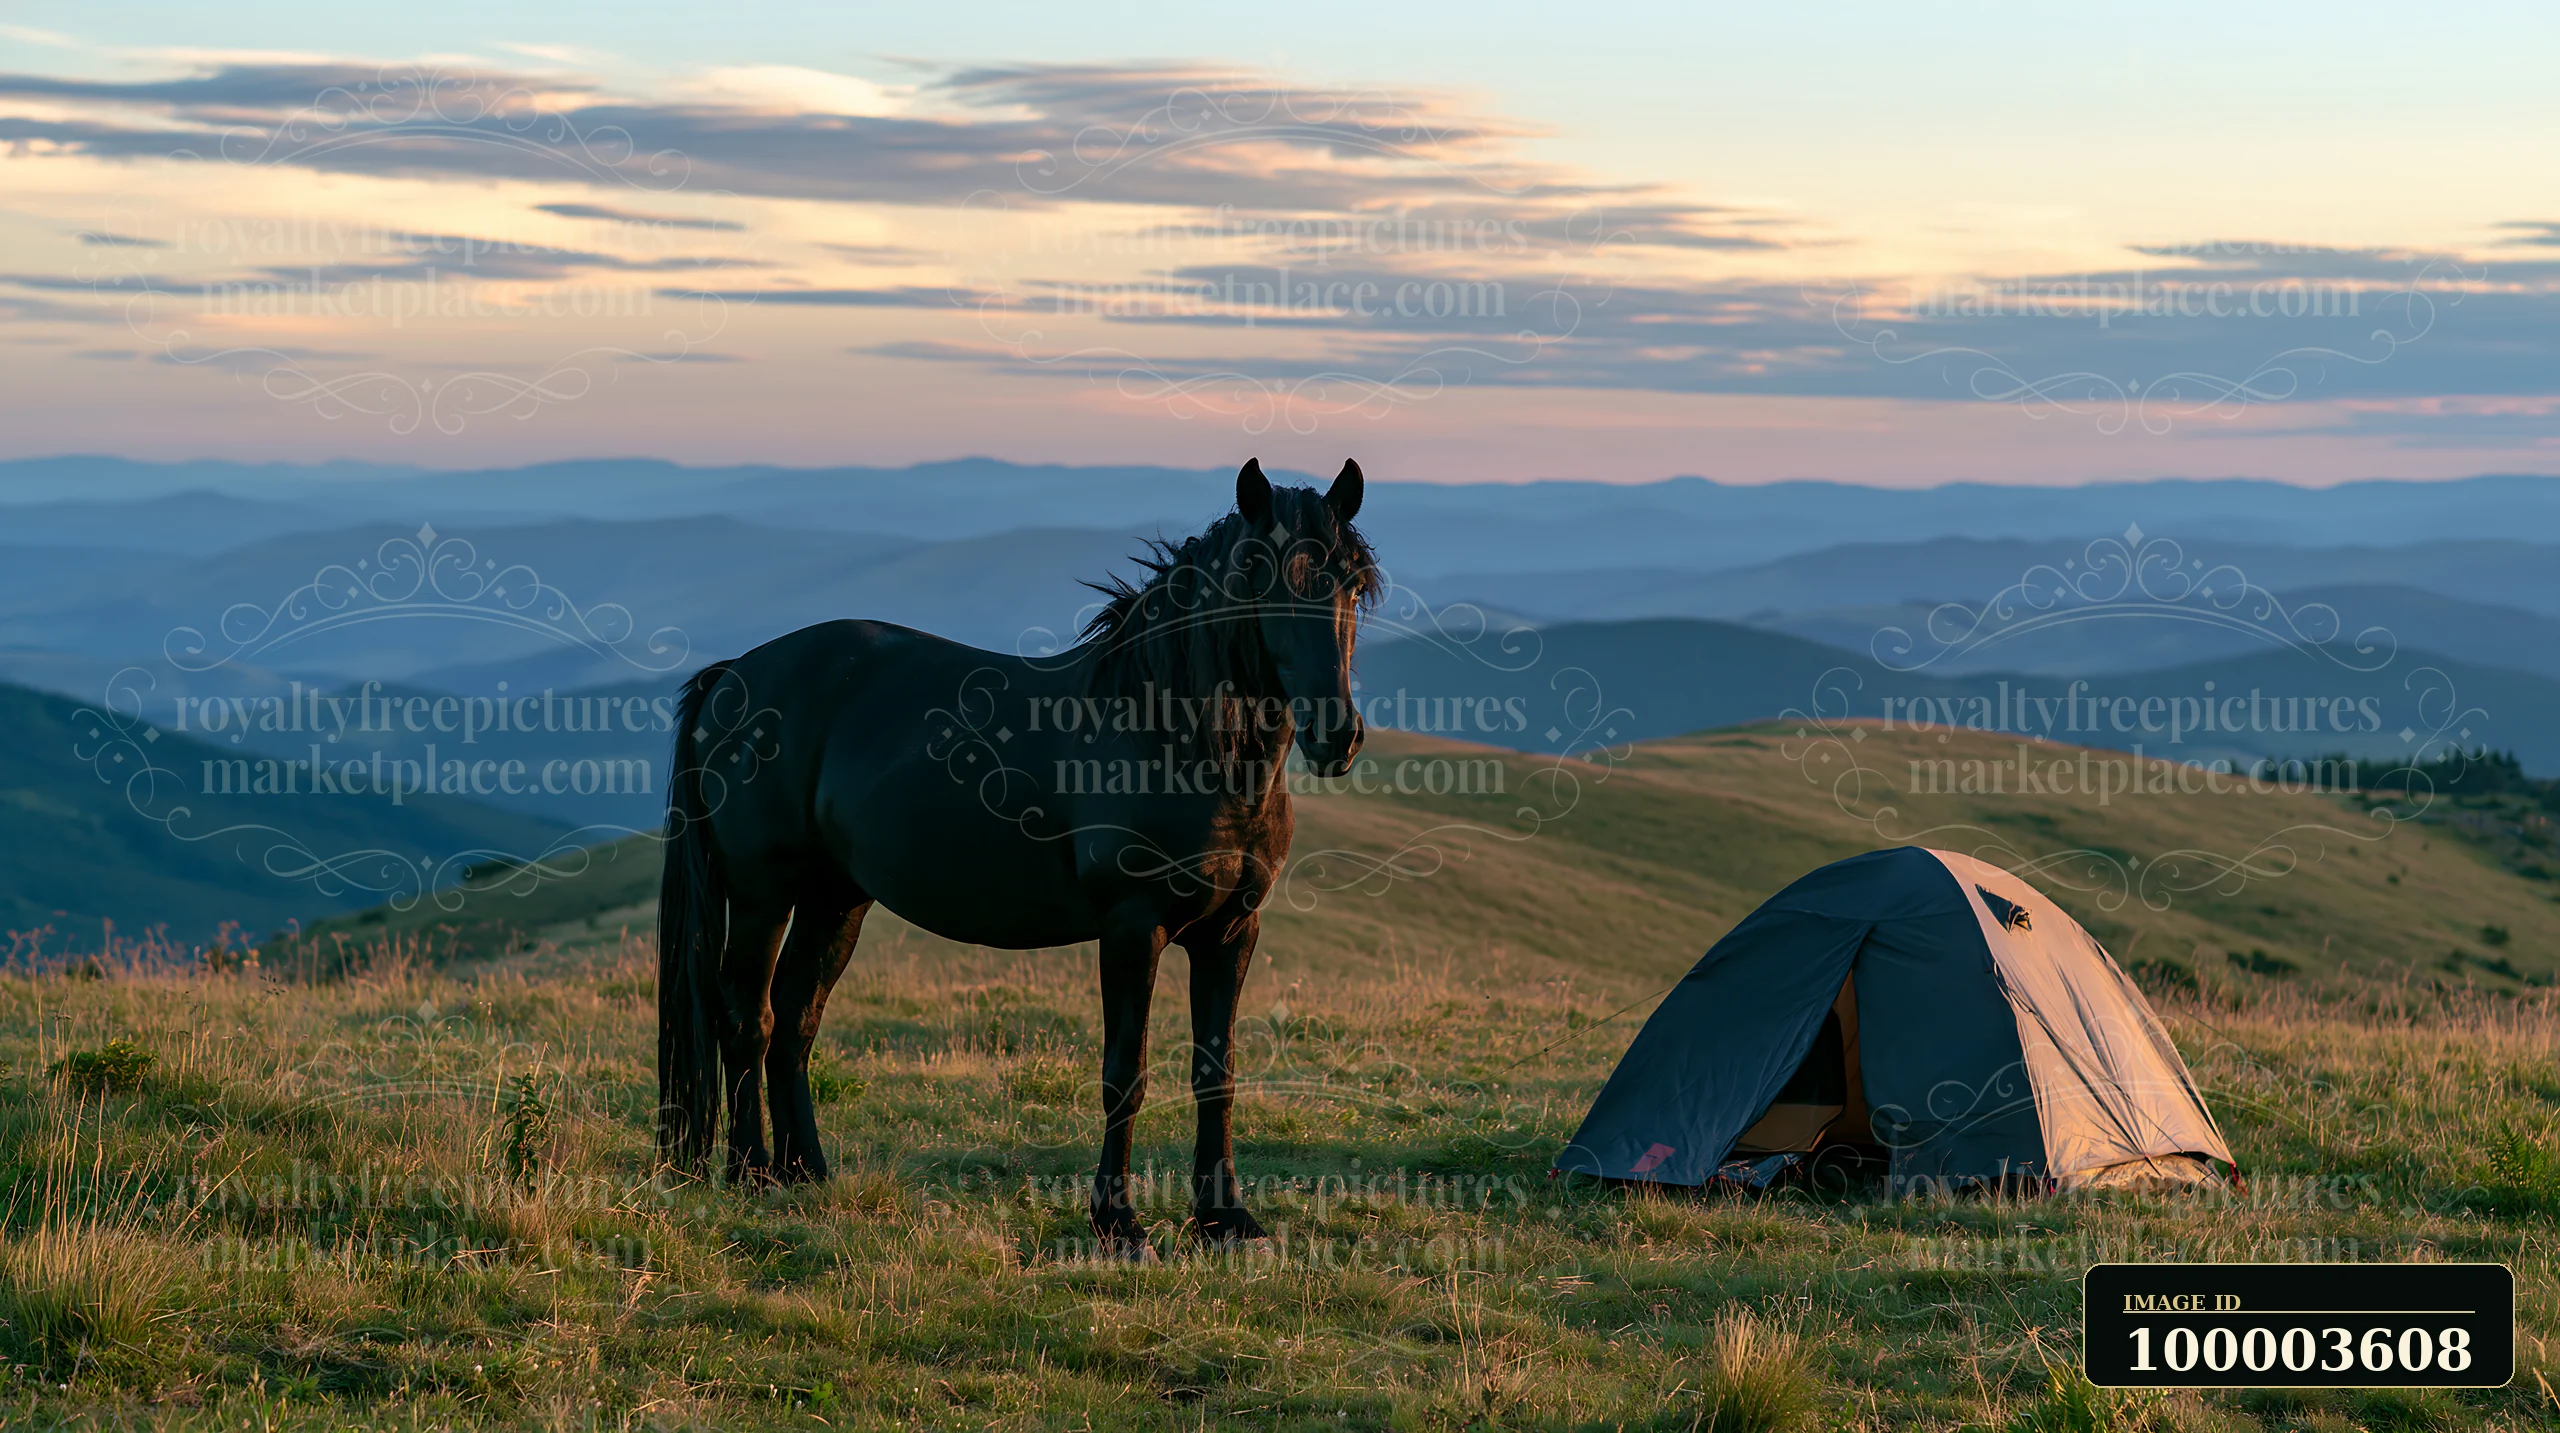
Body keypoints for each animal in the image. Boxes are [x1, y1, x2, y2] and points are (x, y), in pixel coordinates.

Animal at [658, 458, 1375, 1253]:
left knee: (795, 1018)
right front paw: (1118, 1222)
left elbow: (1214, 1072)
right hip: (762, 898)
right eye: (1264, 581)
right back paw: (751, 1171)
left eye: (1352, 584)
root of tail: (733, 676)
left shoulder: (1231, 931)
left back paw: (805, 1171)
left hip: (834, 899)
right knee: (745, 1019)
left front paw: (1225, 1218)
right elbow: (1126, 1070)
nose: (1336, 735)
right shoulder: (1133, 928)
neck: (1173, 737)